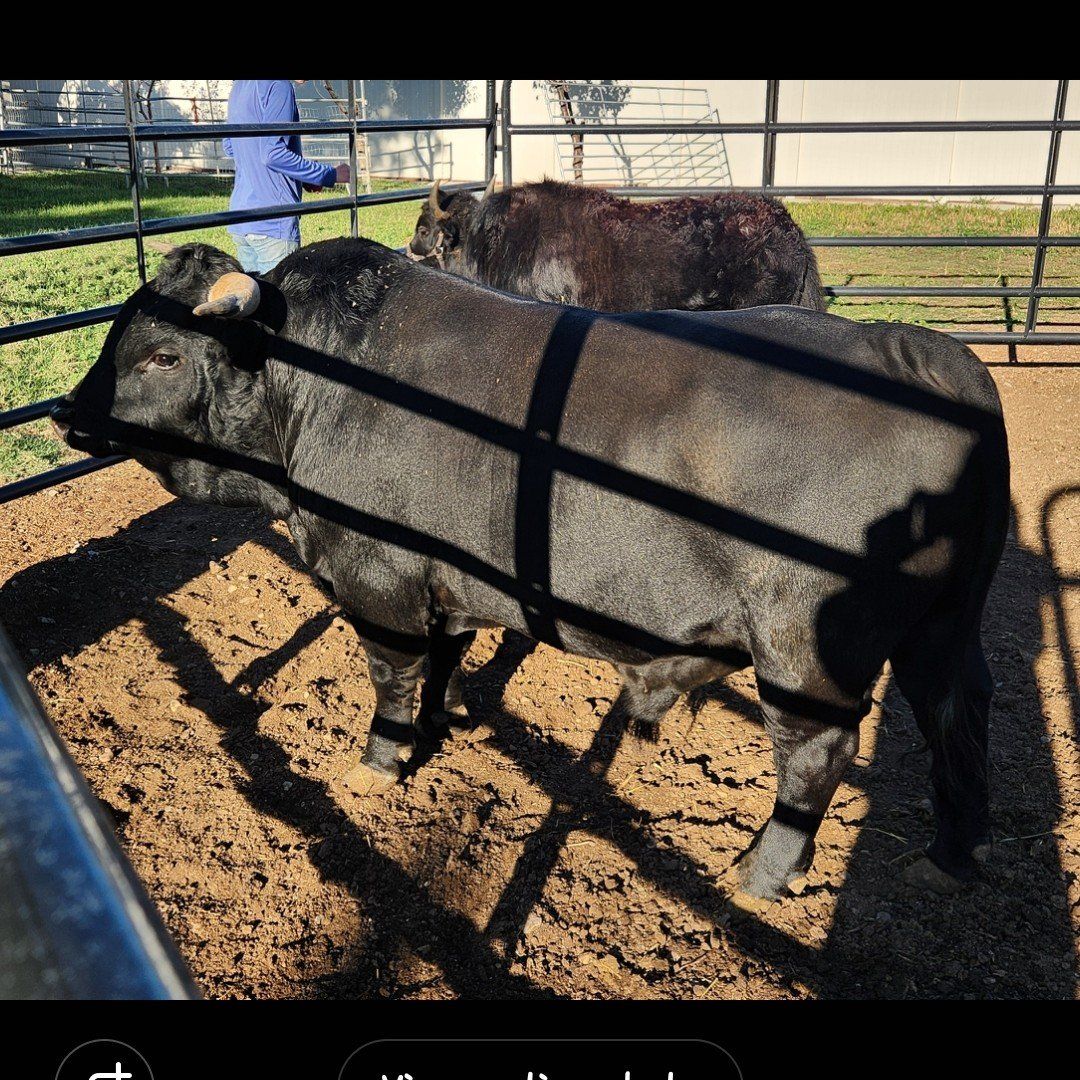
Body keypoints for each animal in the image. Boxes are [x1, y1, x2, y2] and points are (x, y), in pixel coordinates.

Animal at [52, 238, 1008, 902]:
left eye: (164, 356)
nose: (63, 413)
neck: (312, 383)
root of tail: (919, 350)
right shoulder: (445, 586)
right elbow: (442, 663)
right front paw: (441, 726)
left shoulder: (379, 581)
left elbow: (393, 677)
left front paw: (380, 761)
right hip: (943, 631)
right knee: (959, 714)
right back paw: (952, 852)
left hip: (804, 650)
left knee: (817, 756)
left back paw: (760, 873)